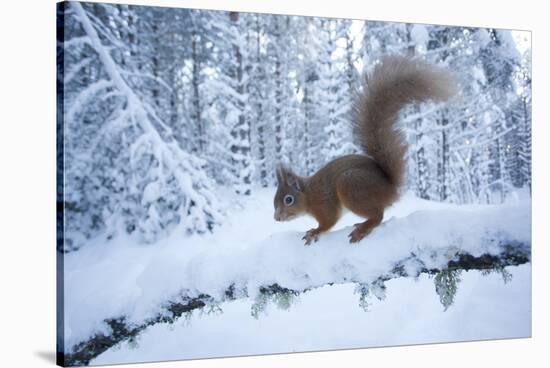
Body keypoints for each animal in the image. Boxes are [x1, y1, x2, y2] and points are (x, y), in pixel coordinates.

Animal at [274, 55, 460, 244]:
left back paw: (362, 229)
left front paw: (314, 231)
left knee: (378, 216)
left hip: (350, 185)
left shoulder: (325, 205)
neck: (309, 195)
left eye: (288, 199)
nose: (277, 218)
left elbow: (328, 222)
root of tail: (390, 189)